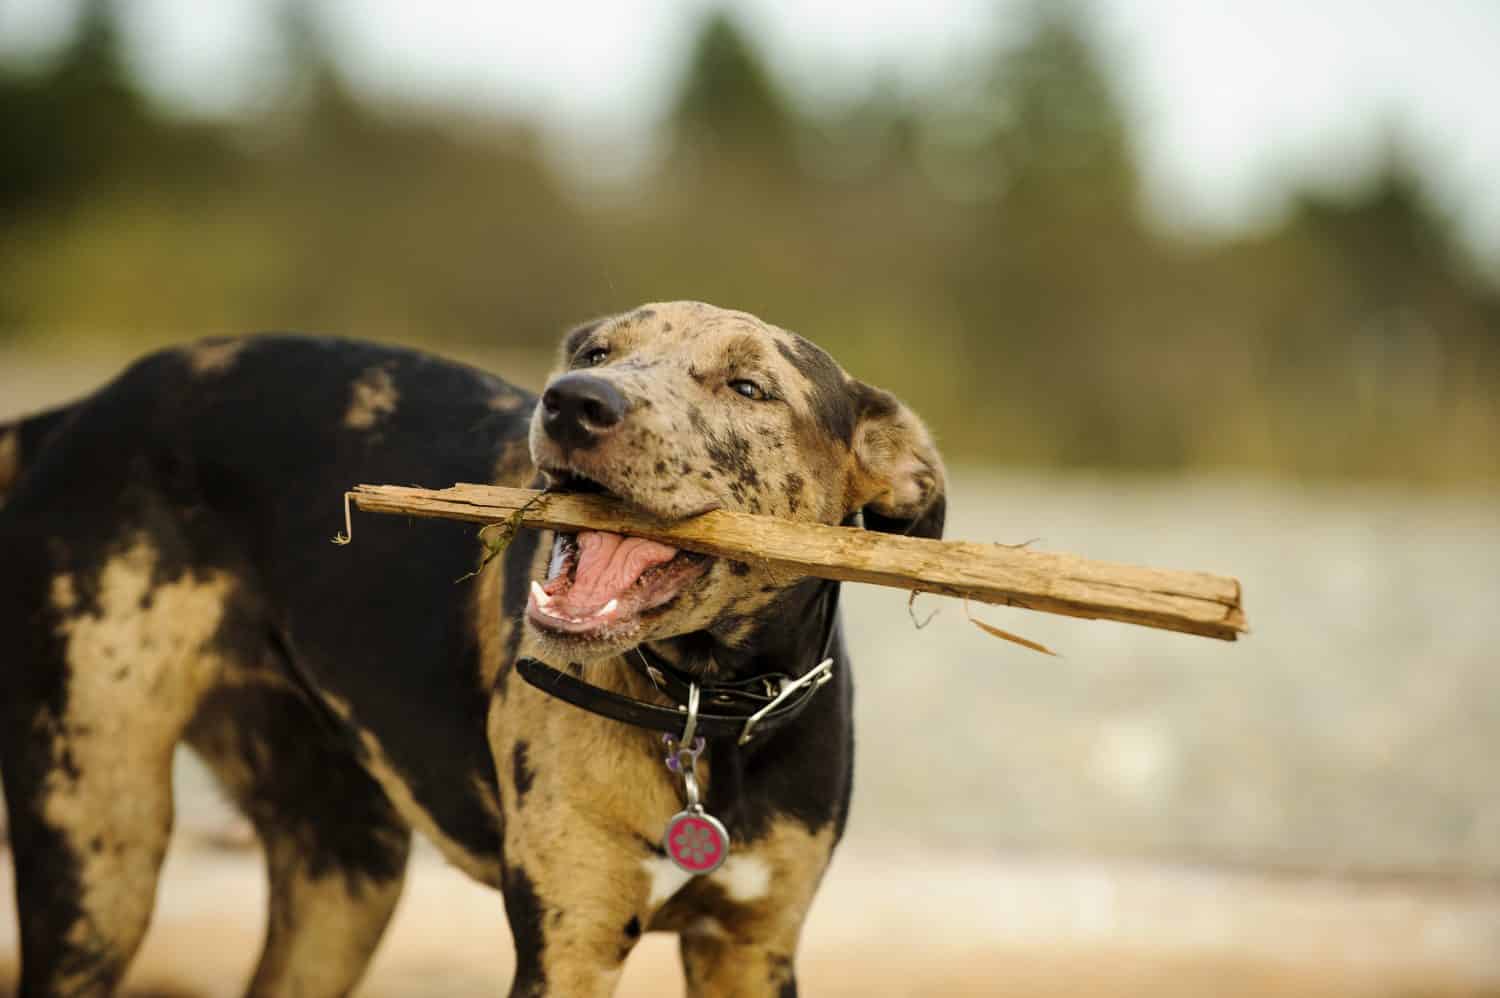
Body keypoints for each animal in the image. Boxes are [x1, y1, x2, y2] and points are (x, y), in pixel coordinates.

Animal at [0, 301, 942, 996]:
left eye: (750, 385)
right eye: (597, 349)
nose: (574, 400)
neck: (704, 705)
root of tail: (80, 414)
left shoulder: (751, 946)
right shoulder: (570, 940)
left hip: (345, 874)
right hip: (96, 852)